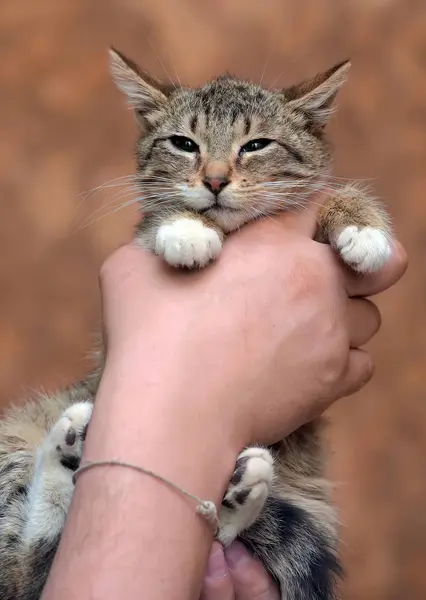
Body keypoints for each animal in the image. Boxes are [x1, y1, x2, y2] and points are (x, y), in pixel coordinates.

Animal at [0, 48, 392, 600]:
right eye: (185, 144)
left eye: (256, 145)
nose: (215, 180)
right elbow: (160, 221)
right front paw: (187, 228)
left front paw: (362, 224)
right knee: (23, 568)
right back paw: (68, 450)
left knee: (221, 534)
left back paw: (239, 490)